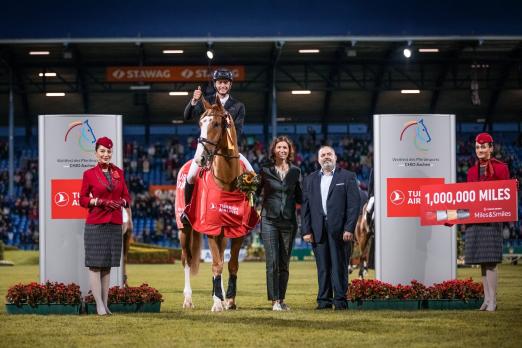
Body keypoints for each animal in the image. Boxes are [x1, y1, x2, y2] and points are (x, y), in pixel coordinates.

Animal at [177, 96, 254, 312]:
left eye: (217, 124)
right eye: (200, 123)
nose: (201, 159)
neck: (226, 179)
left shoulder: (238, 231)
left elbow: (231, 264)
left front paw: (229, 299)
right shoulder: (211, 228)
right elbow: (216, 264)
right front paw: (218, 302)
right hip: (184, 229)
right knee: (187, 259)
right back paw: (188, 300)